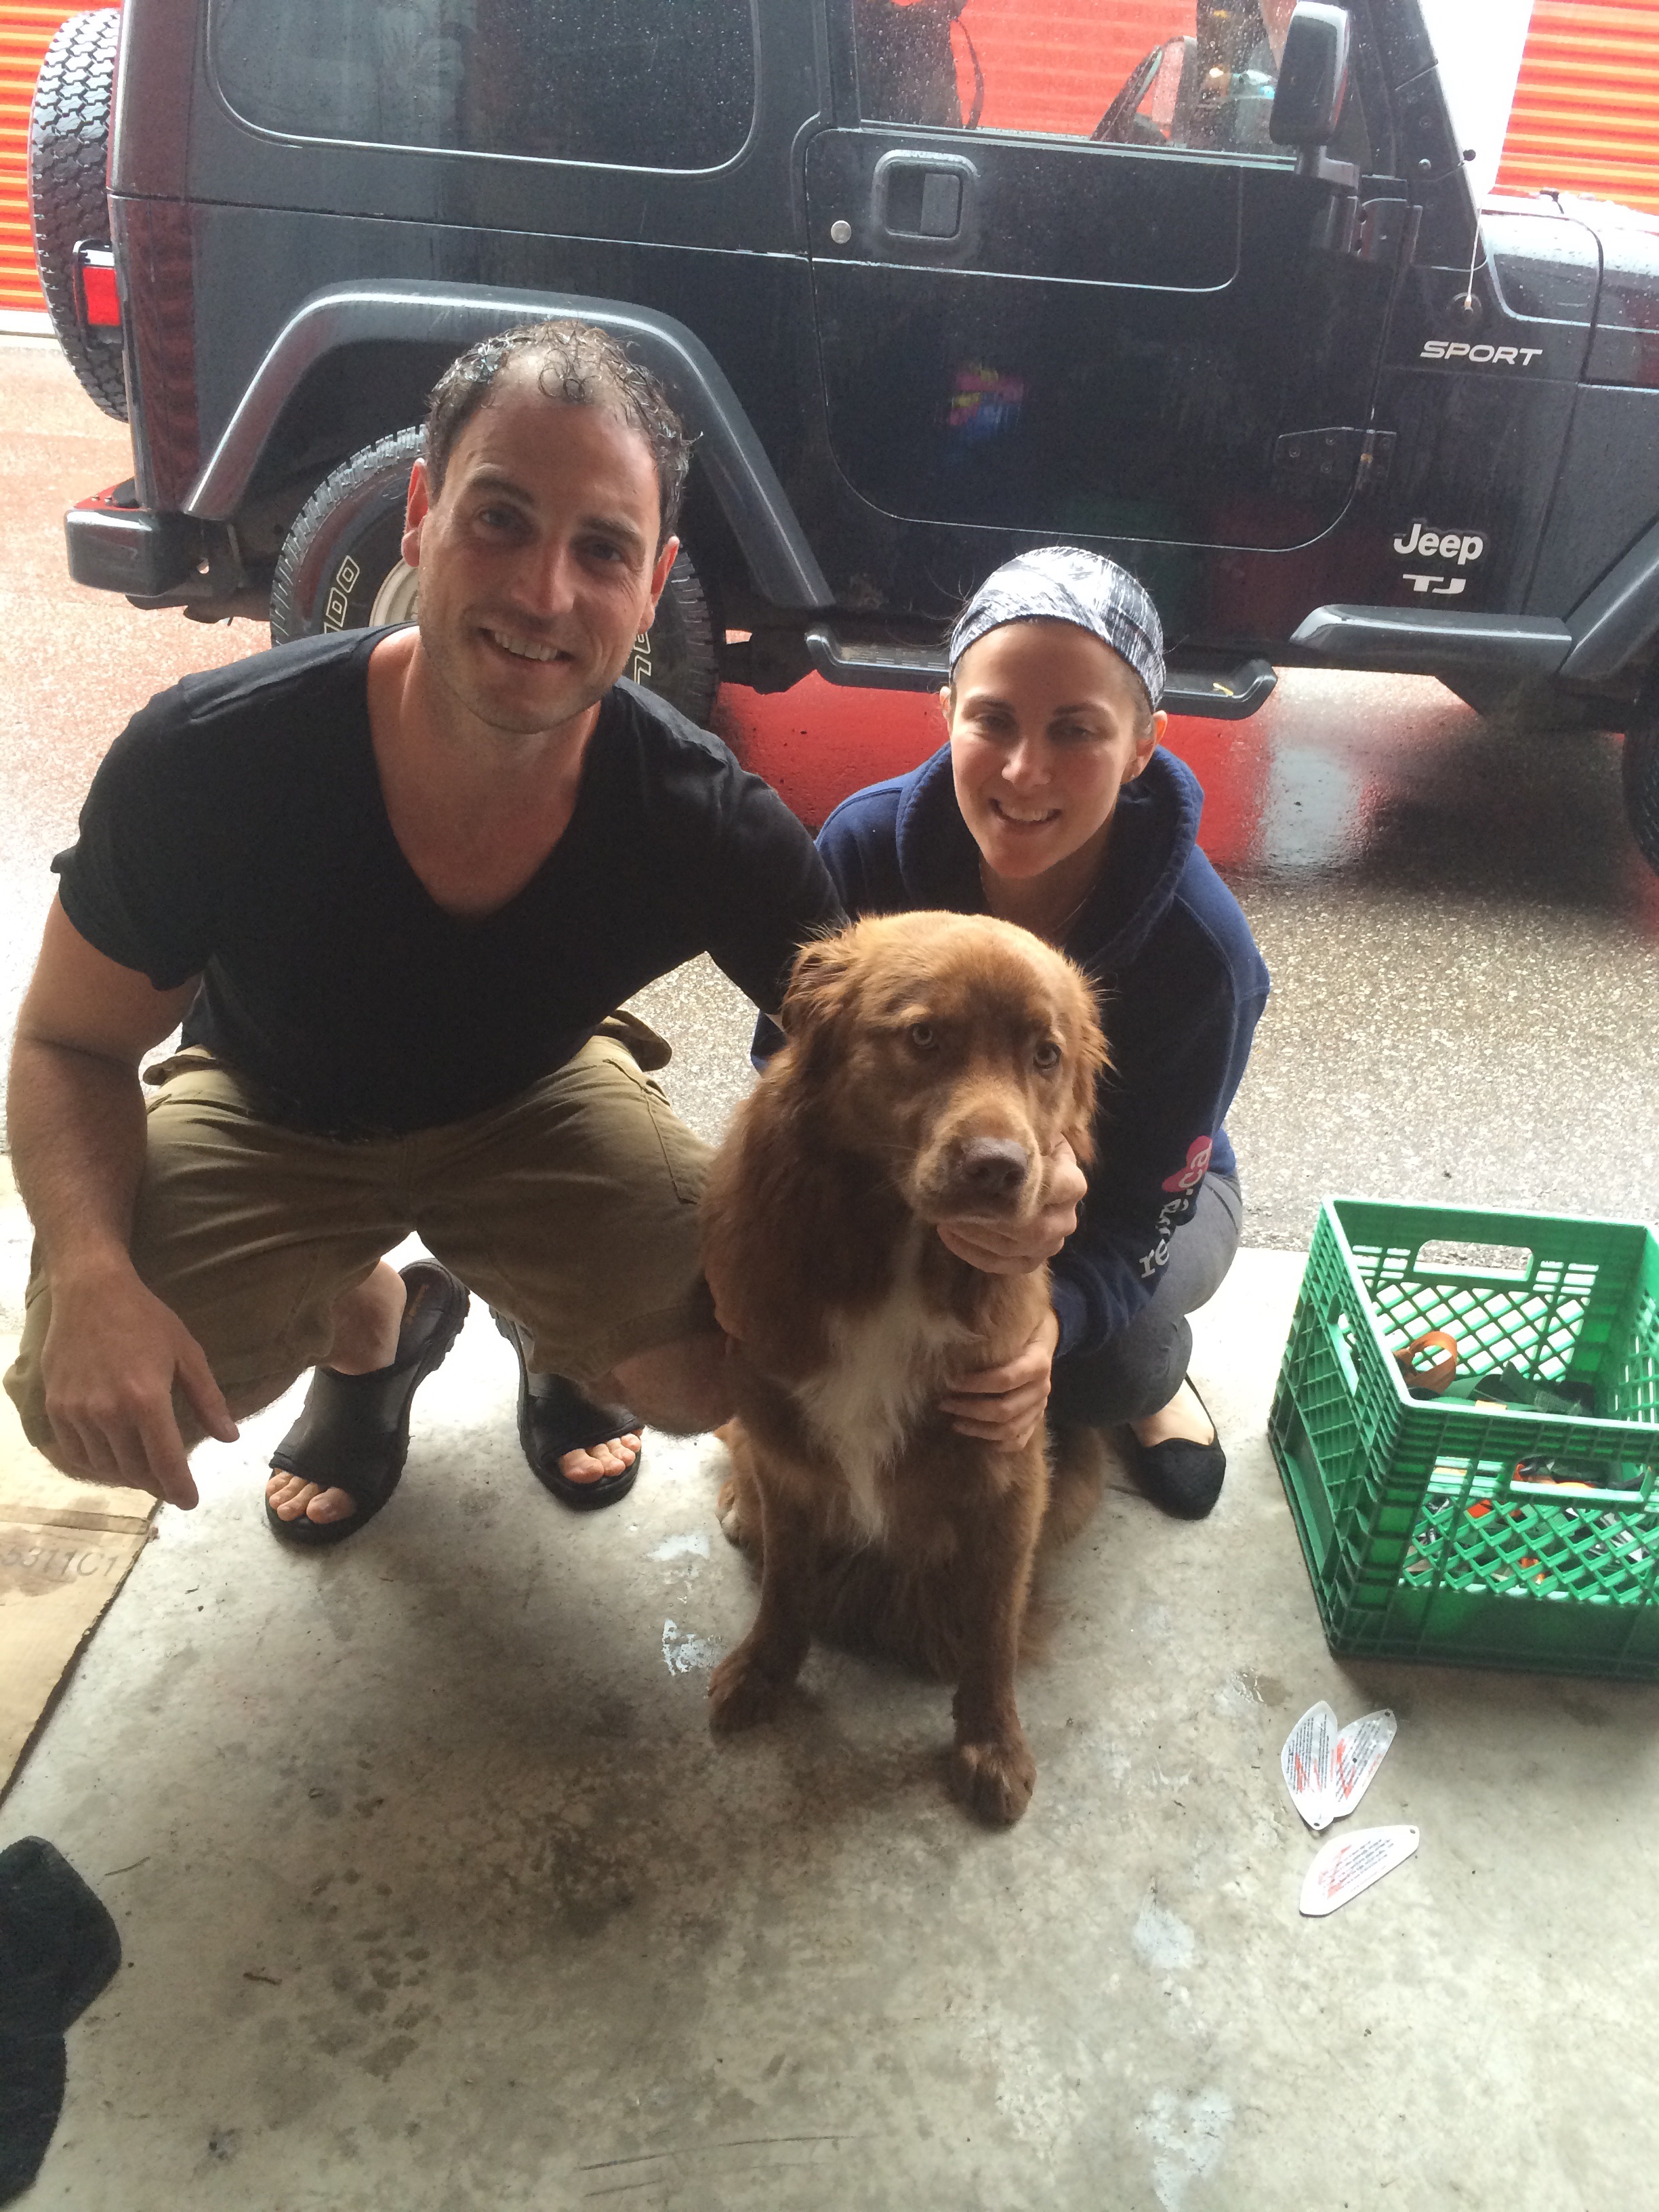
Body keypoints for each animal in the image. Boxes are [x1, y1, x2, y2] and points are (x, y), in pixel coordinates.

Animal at [700, 910, 1110, 1825]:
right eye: (924, 1036)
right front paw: (764, 1671)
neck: (898, 1251)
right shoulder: (786, 1440)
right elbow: (785, 1585)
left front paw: (991, 1744)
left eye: (1045, 1054)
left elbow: (992, 1628)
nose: (1000, 1168)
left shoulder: (1006, 1464)